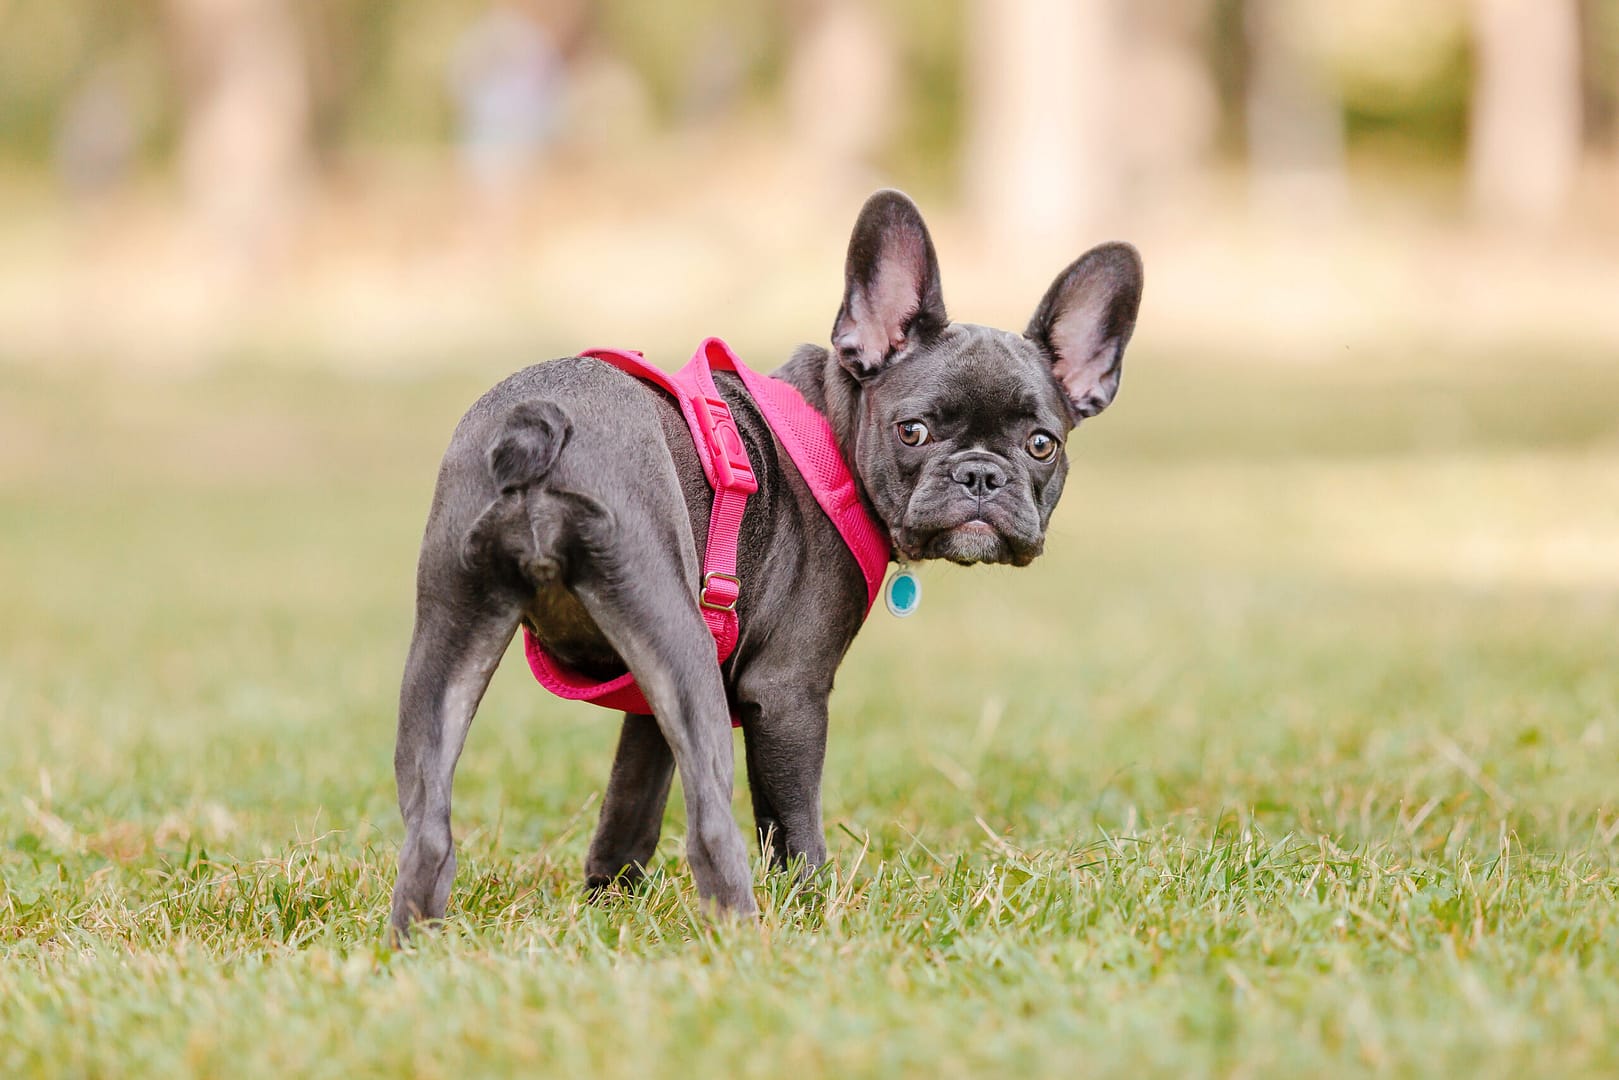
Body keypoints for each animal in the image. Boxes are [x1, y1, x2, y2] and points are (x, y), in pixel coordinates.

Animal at [390, 187, 1146, 939]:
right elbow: (791, 823)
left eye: (1042, 444)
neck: (834, 429)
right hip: (681, 646)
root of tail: (538, 428)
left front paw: (608, 904)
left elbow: (630, 803)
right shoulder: (786, 692)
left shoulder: (647, 699)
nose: (981, 476)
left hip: (454, 640)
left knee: (427, 828)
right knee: (712, 830)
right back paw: (744, 936)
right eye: (913, 431)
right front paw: (812, 908)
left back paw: (414, 939)